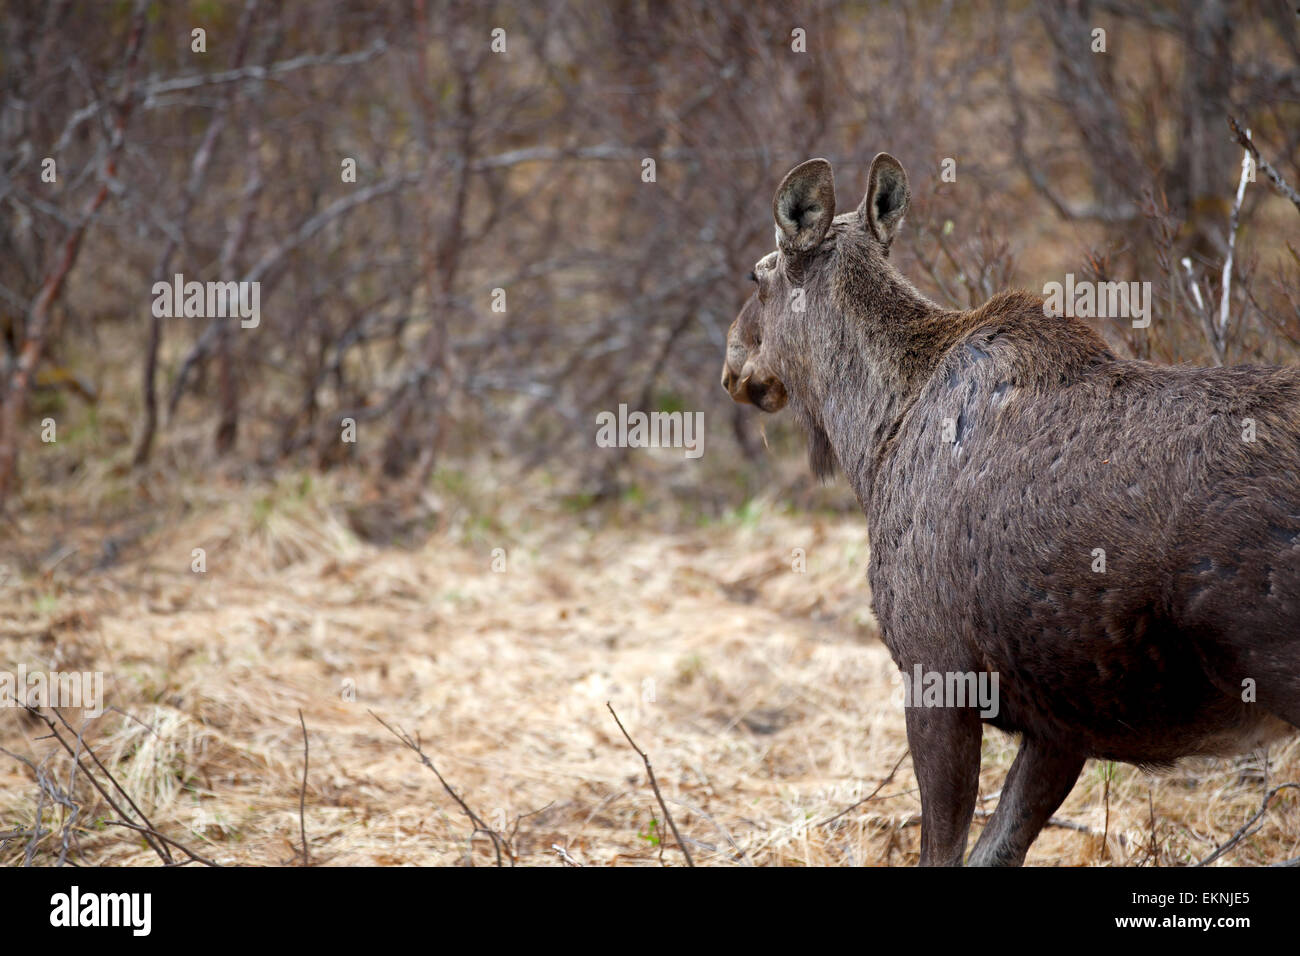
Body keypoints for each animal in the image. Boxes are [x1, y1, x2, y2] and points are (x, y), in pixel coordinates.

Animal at [722, 155, 1300, 868]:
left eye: (758, 276)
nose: (732, 362)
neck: (873, 442)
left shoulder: (936, 672)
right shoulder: (1061, 725)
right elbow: (995, 849)